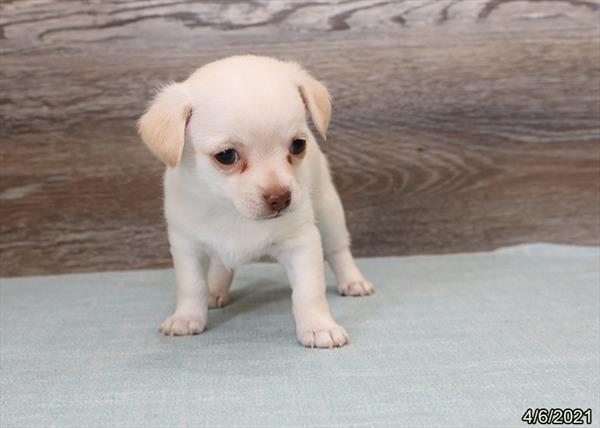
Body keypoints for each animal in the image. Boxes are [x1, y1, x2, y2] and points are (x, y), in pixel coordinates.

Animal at [139, 55, 376, 348]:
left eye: (298, 145)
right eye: (226, 156)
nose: (281, 198)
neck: (232, 213)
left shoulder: (302, 244)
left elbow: (308, 292)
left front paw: (319, 326)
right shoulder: (187, 245)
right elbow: (190, 285)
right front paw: (186, 317)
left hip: (329, 212)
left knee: (339, 251)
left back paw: (353, 282)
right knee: (220, 265)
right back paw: (214, 291)